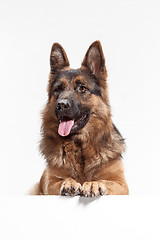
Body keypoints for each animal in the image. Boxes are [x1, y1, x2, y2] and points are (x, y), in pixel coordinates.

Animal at [31, 40, 129, 196]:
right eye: (58, 89)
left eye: (82, 88)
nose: (61, 105)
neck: (80, 145)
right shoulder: (49, 183)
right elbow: (62, 180)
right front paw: (69, 183)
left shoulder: (121, 184)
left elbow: (104, 181)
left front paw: (93, 184)